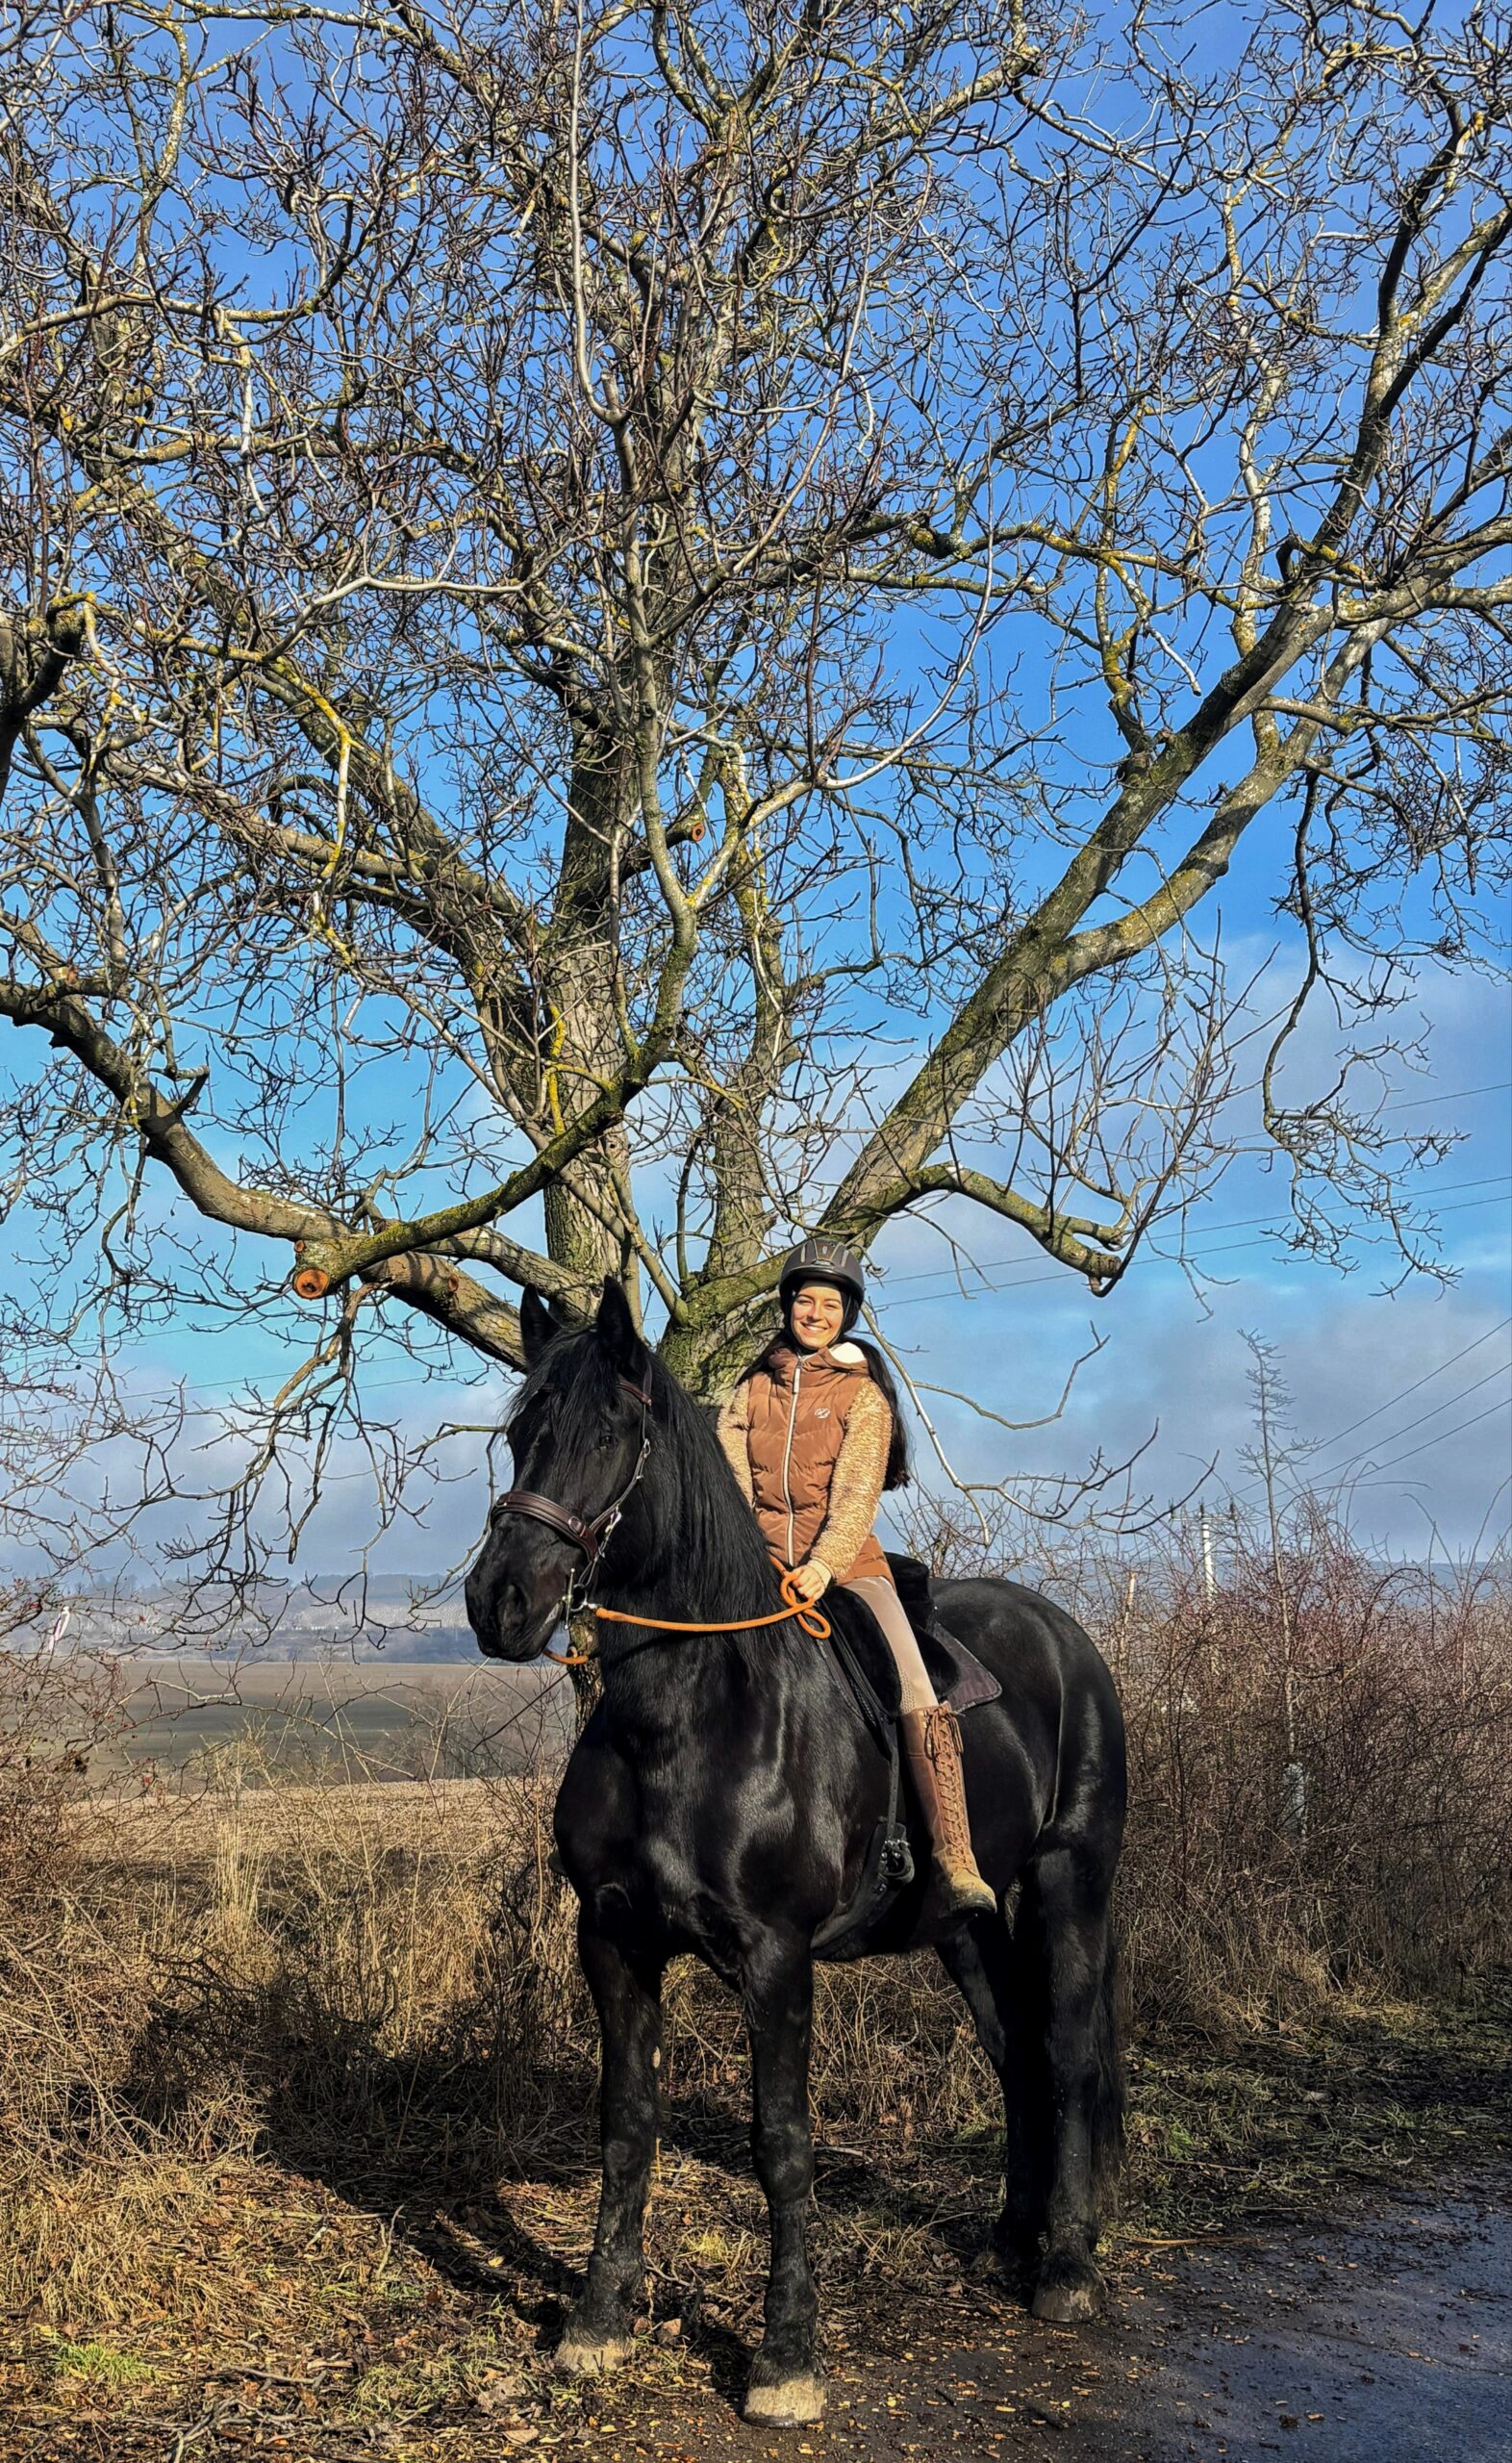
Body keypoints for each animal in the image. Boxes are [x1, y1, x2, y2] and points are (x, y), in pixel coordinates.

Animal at [465, 1279, 1127, 2430]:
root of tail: (1067, 1639)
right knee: (1015, 2056)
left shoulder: (774, 1959)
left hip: (1069, 1886)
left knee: (1070, 2055)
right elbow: (626, 2122)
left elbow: (781, 2144)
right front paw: (595, 2323)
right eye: (518, 1436)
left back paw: (1067, 2268)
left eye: (608, 1435)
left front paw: (784, 2358)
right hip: (966, 1927)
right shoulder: (614, 1941)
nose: (499, 1602)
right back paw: (1011, 2241)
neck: (689, 1718)